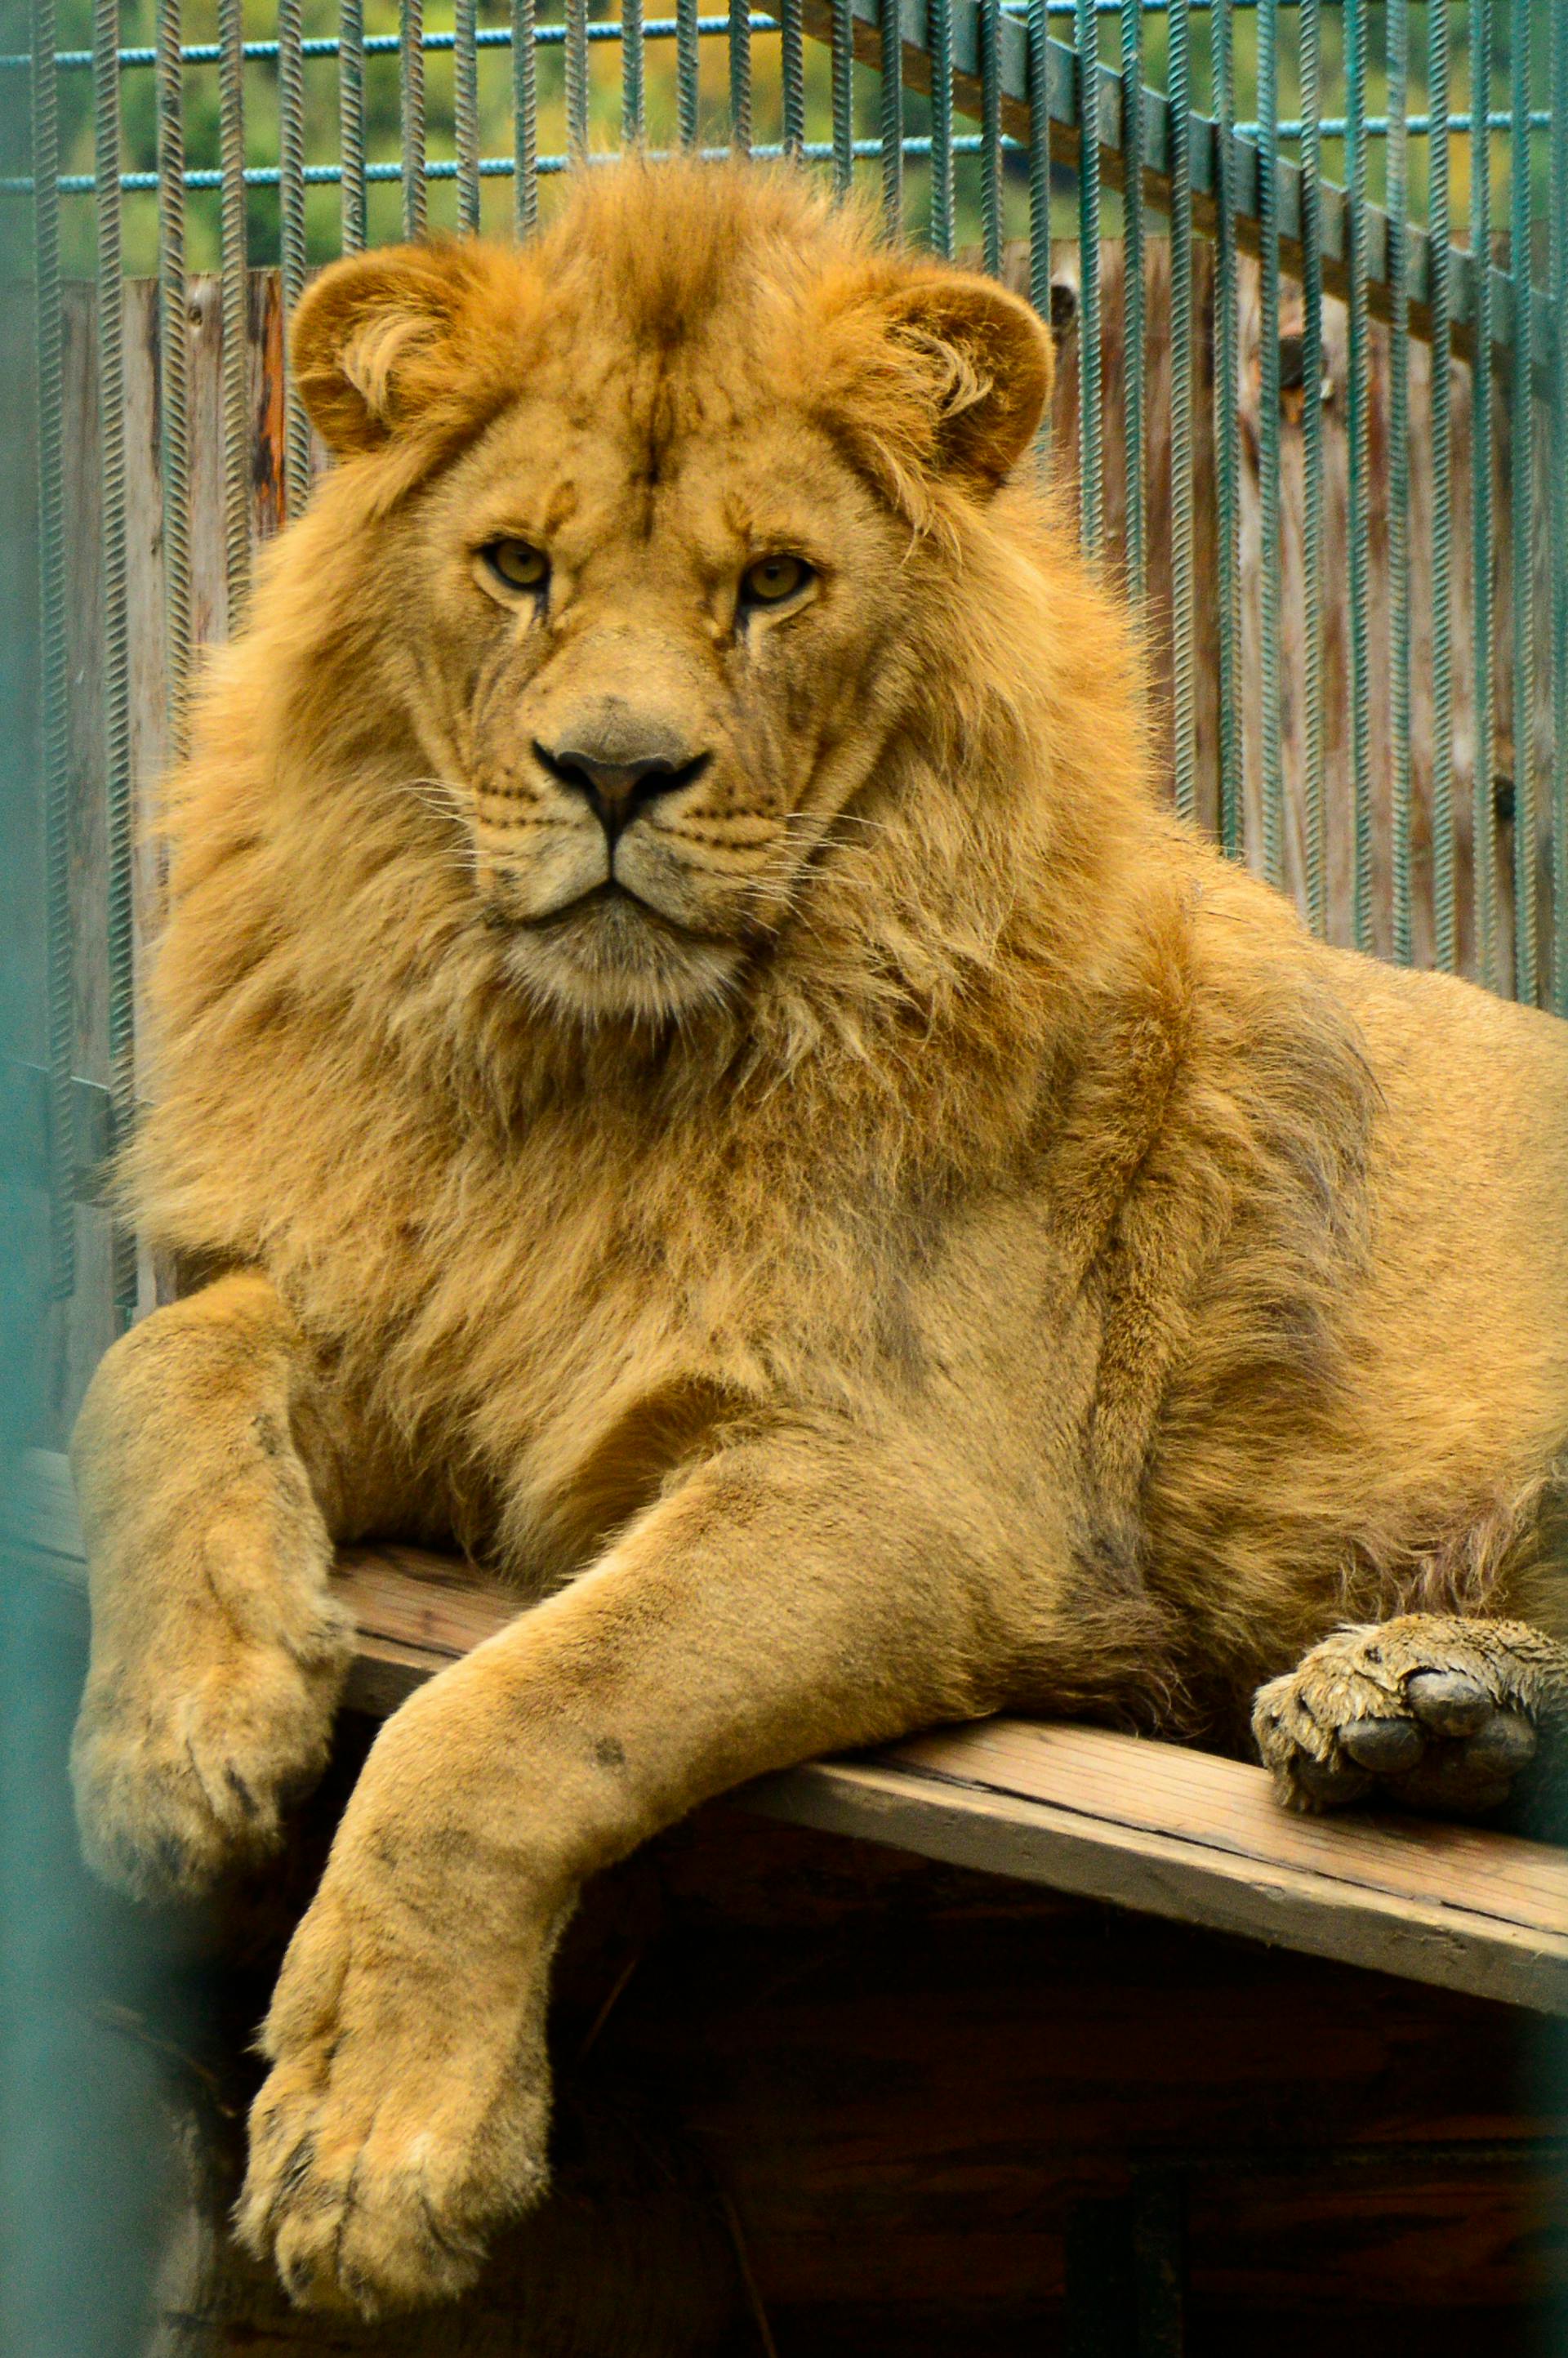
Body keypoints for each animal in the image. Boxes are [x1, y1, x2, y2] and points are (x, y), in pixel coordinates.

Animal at [67, 166, 1566, 2320]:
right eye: (516, 567)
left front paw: (377, 2150)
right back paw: (1413, 1714)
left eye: (773, 583)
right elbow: (160, 1362)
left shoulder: (913, 1487)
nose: (614, 774)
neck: (581, 1081)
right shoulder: (425, 1333)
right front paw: (182, 1739)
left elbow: (504, 1720)